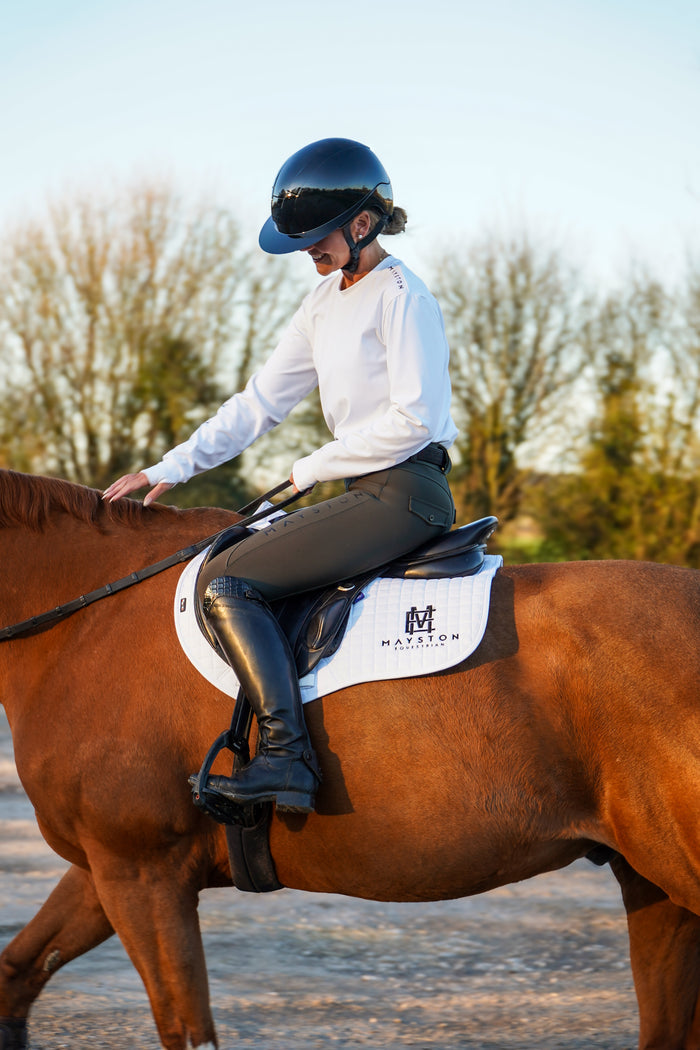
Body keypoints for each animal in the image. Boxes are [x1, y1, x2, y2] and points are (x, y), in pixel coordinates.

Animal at [2, 467, 700, 1050]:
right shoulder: (107, 867)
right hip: (651, 881)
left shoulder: (143, 870)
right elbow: (17, 970)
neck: (89, 621)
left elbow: (186, 1029)